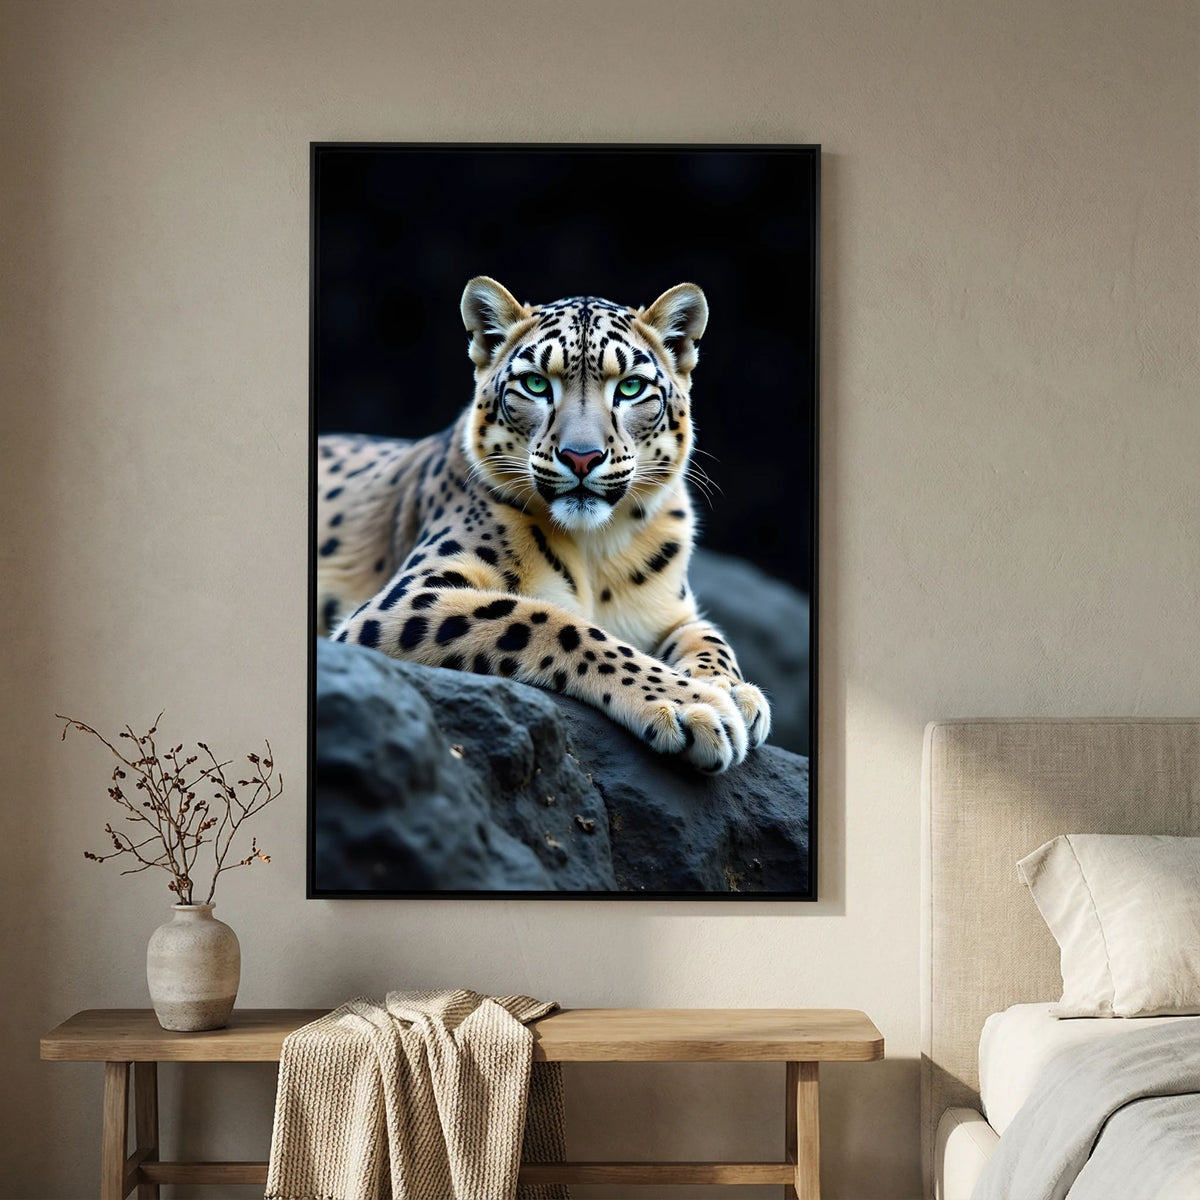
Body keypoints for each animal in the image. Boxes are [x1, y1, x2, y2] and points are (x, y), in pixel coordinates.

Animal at [316, 277, 771, 773]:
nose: (581, 456)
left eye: (631, 387)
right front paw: (695, 704)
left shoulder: (672, 612)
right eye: (535, 383)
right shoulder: (406, 597)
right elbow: (548, 620)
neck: (597, 550)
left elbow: (710, 638)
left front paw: (735, 691)